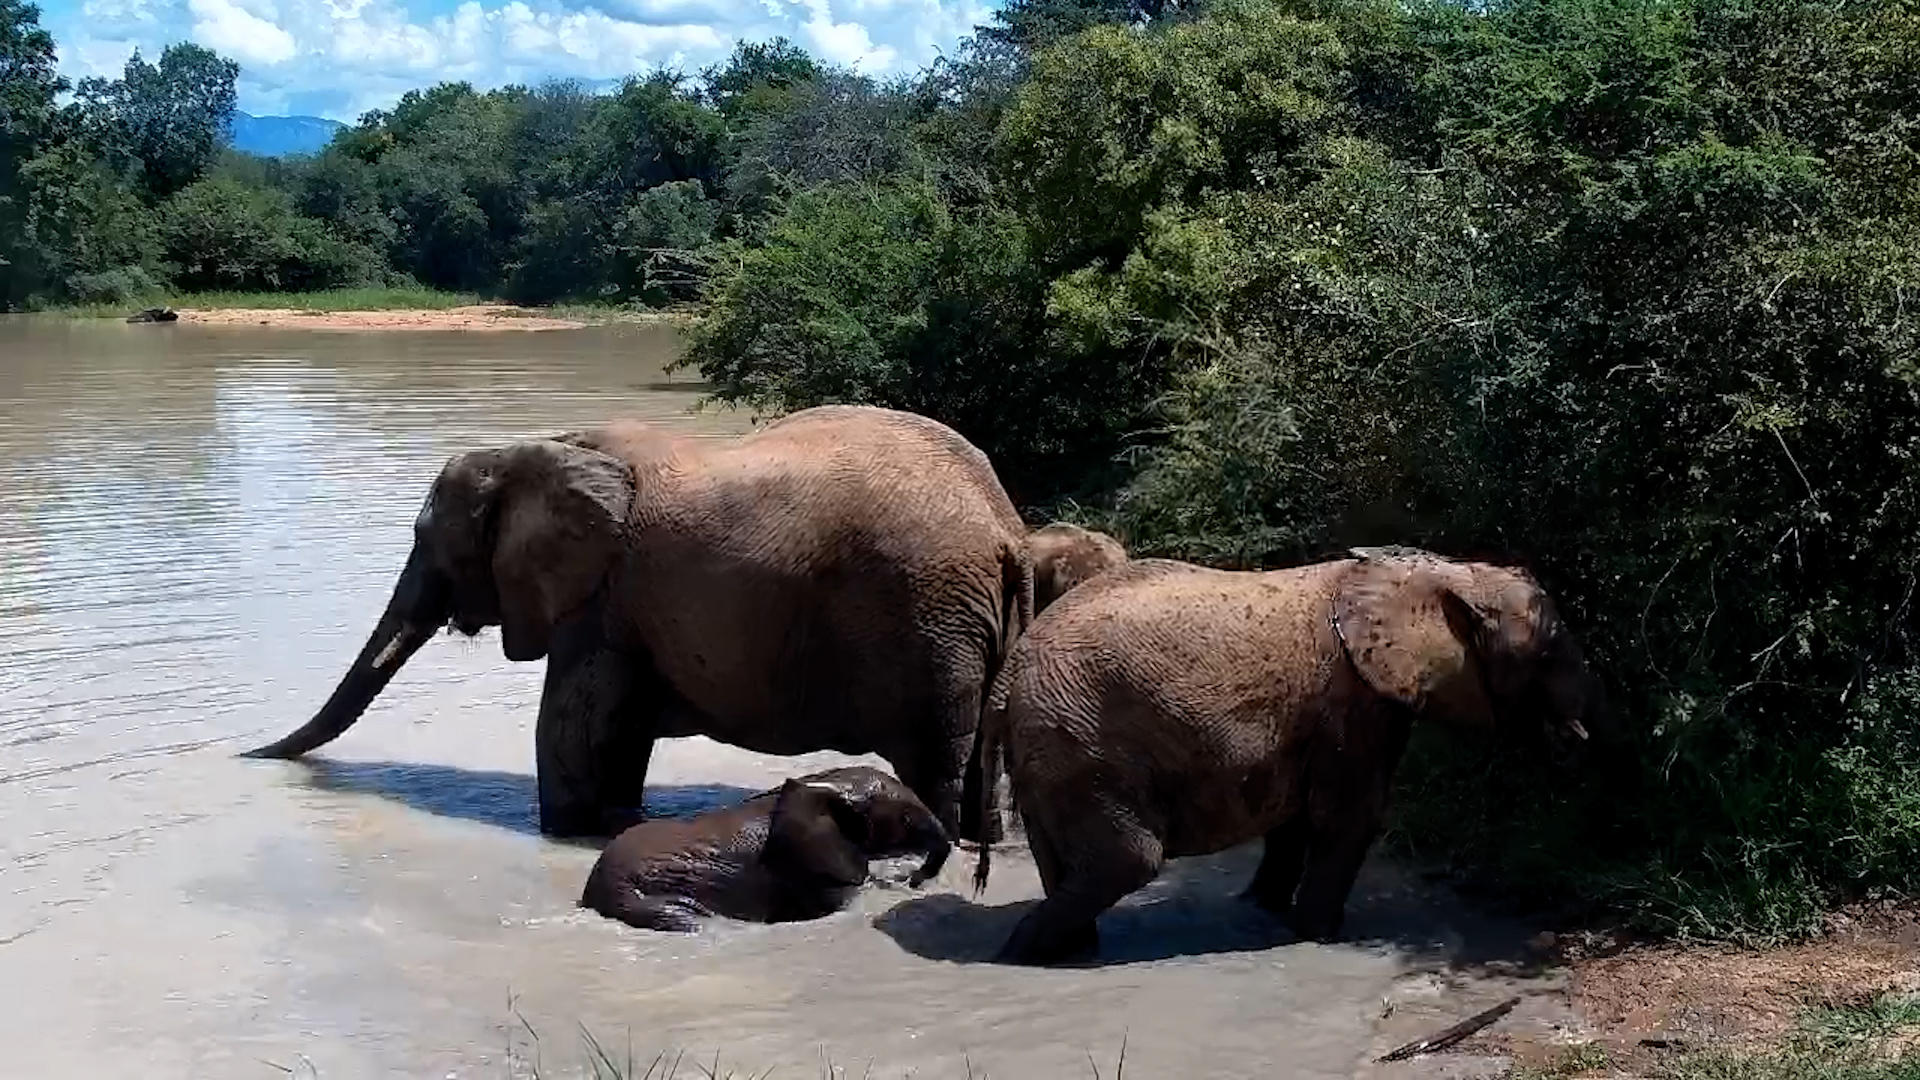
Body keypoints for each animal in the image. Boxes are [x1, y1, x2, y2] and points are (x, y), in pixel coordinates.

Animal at [244, 404, 1035, 844]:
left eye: (427, 541)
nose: (244, 758)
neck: (537, 446)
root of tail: (1007, 530)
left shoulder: (602, 597)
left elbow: (570, 731)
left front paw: (570, 833)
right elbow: (613, 737)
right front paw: (616, 821)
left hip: (927, 619)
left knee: (933, 762)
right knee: (978, 765)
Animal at [968, 546, 1605, 965]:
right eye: (1548, 653)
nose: (1573, 744)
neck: (1439, 574)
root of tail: (1008, 677)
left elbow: (1298, 816)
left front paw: (1263, 911)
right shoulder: (1355, 698)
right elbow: (1349, 816)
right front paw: (1321, 933)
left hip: (1050, 752)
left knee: (1072, 863)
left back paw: (1065, 951)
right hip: (1078, 741)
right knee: (1129, 860)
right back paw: (1015, 955)